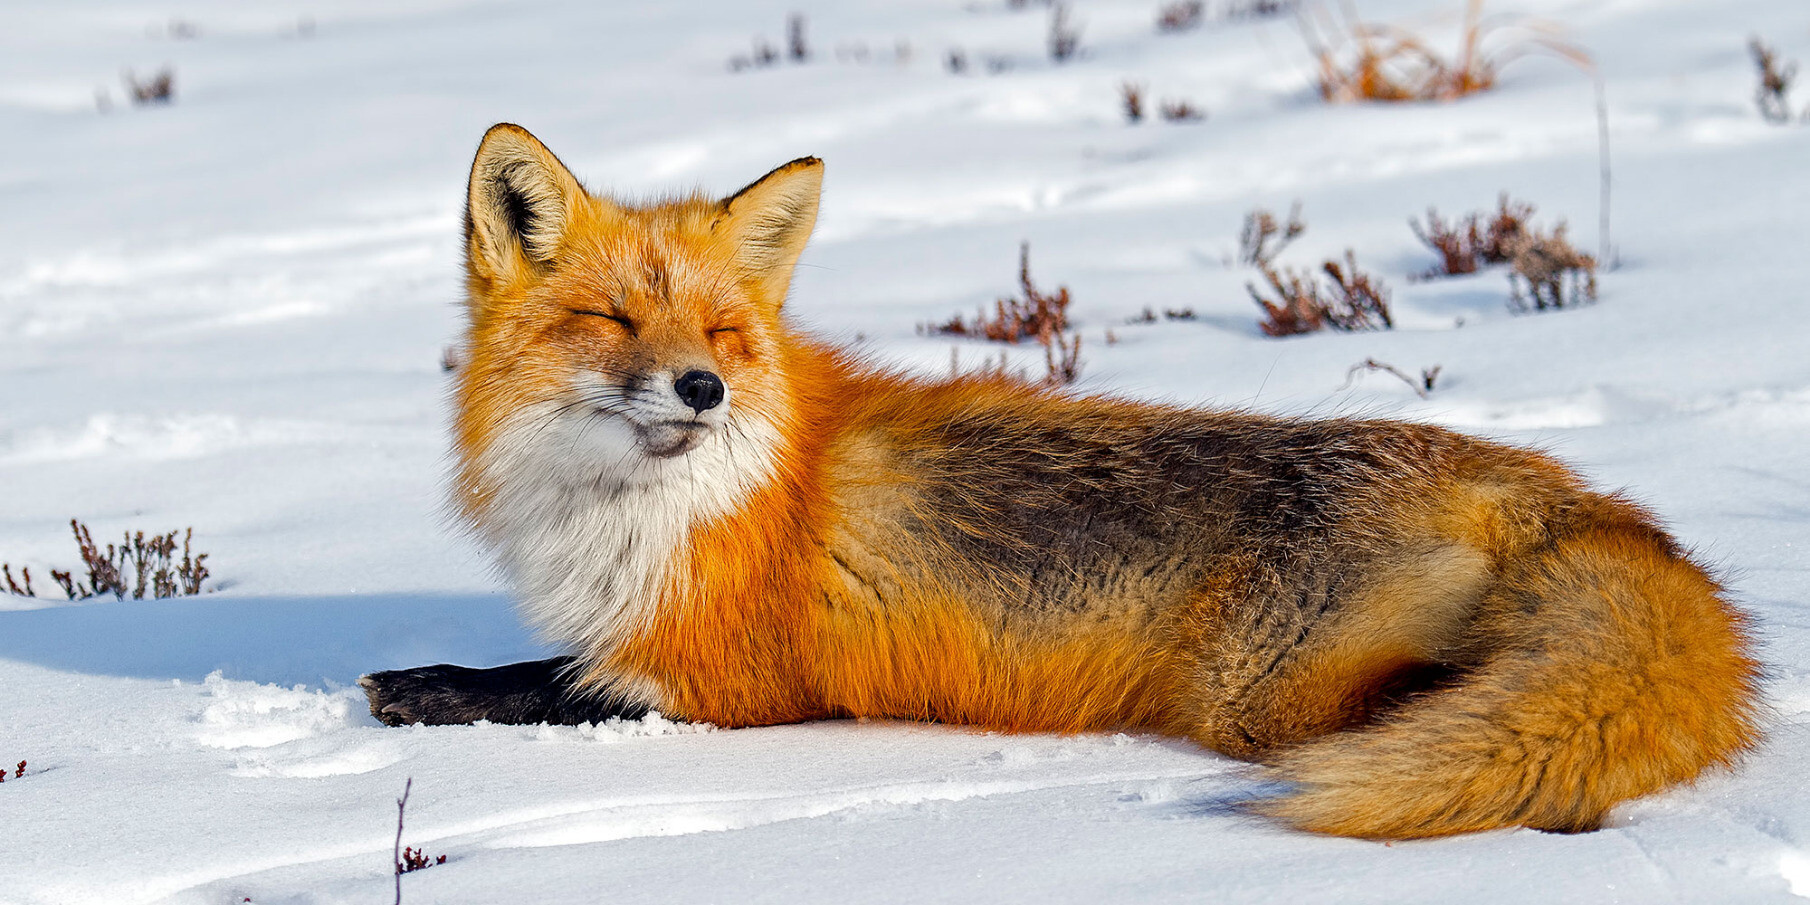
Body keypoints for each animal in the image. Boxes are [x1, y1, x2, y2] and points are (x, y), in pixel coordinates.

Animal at [360, 122, 1759, 839]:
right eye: (611, 318)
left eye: (720, 335)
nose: (700, 389)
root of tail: (1547, 477)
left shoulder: (723, 683)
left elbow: (537, 684)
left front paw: (417, 687)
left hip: (1264, 693)